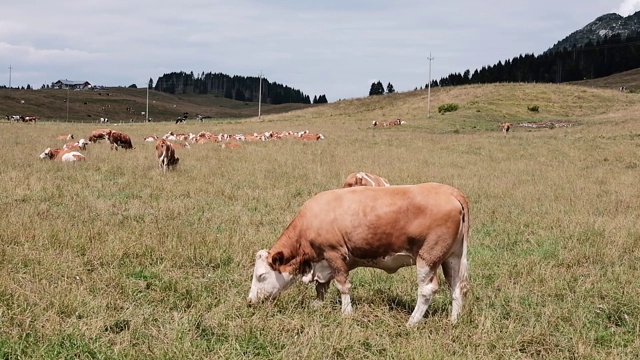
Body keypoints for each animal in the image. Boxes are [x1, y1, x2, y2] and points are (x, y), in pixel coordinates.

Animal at [246, 183, 470, 326]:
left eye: (261, 275)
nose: (250, 300)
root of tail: (451, 192)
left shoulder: (334, 254)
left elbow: (342, 286)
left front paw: (346, 313)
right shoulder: (323, 261)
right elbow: (321, 286)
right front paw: (318, 304)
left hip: (428, 258)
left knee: (426, 290)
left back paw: (412, 322)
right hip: (452, 257)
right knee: (457, 287)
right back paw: (454, 321)